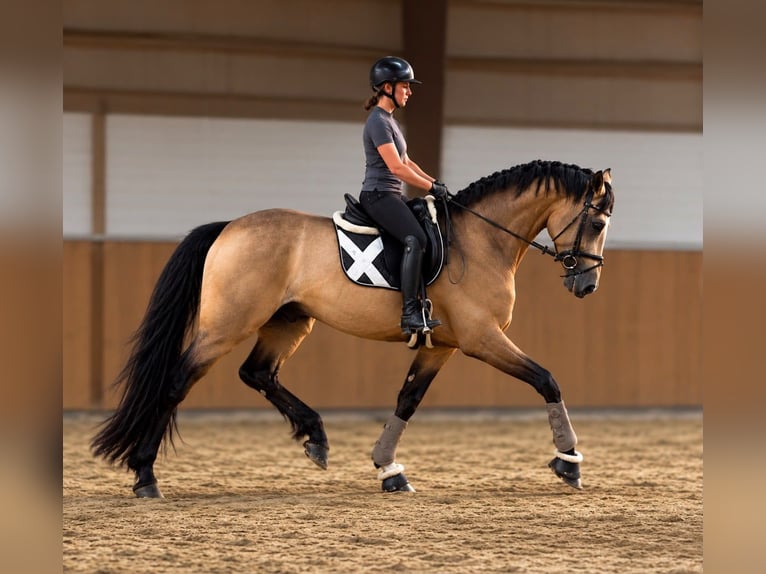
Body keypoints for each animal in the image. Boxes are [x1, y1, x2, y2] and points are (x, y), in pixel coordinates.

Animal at [92, 159, 614, 498]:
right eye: (597, 221)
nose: (587, 284)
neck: (481, 240)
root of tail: (229, 228)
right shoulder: (481, 339)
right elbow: (546, 379)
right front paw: (569, 462)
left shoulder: (441, 345)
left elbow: (407, 399)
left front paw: (389, 470)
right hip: (227, 325)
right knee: (178, 381)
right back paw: (145, 477)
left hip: (289, 322)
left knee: (258, 373)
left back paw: (316, 438)